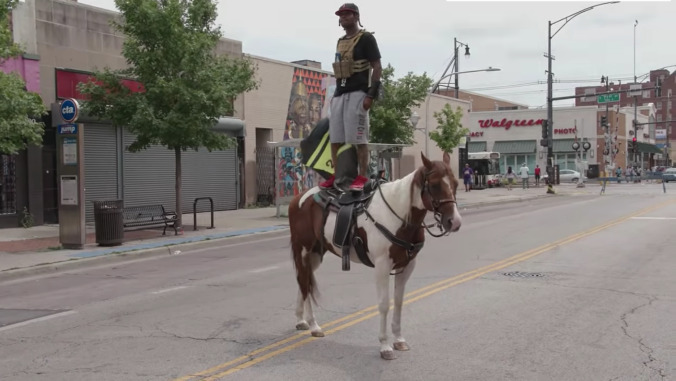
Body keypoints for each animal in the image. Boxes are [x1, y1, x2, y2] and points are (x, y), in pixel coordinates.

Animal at [288, 151, 462, 360]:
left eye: (456, 183)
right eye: (435, 185)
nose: (454, 222)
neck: (398, 216)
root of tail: (298, 198)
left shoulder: (407, 266)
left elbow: (399, 301)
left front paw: (399, 340)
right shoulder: (382, 266)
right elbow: (384, 304)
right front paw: (385, 346)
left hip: (315, 254)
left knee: (303, 280)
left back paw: (301, 320)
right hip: (303, 250)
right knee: (304, 282)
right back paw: (314, 325)